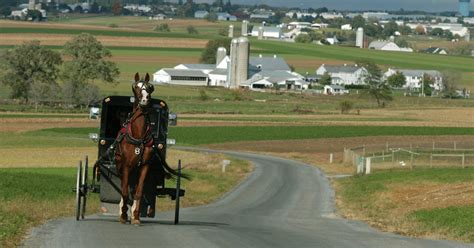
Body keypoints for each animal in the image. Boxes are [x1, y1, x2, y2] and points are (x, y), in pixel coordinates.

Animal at [115, 72, 156, 225]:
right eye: (136, 87)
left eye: (150, 87)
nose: (145, 99)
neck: (138, 136)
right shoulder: (126, 166)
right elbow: (125, 191)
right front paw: (123, 215)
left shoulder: (145, 166)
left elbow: (138, 192)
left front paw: (136, 216)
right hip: (120, 167)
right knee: (123, 186)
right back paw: (122, 210)